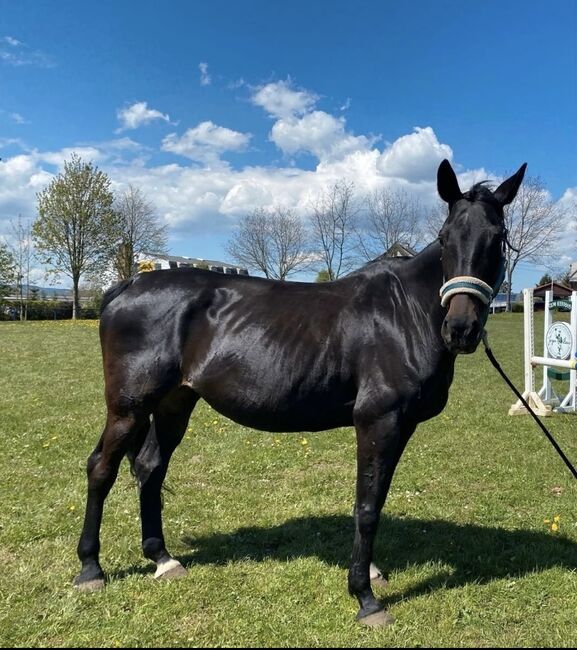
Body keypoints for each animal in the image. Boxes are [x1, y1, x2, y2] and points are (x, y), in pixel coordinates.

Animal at [74, 157, 524, 624]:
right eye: (445, 237)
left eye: (498, 237)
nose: (461, 329)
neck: (405, 313)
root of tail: (127, 286)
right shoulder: (378, 420)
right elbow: (367, 507)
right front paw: (365, 597)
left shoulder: (402, 426)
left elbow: (375, 499)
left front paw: (371, 572)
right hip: (128, 407)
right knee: (101, 469)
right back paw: (91, 569)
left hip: (173, 404)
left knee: (150, 468)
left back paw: (162, 559)